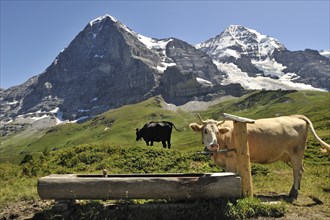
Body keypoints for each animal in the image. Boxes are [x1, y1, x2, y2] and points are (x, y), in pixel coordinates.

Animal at [191, 114, 330, 199]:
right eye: (205, 131)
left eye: (217, 131)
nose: (213, 145)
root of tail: (295, 116)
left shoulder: (230, 160)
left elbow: (229, 176)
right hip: (294, 155)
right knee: (300, 169)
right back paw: (295, 189)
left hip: (296, 152)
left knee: (298, 171)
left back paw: (293, 193)